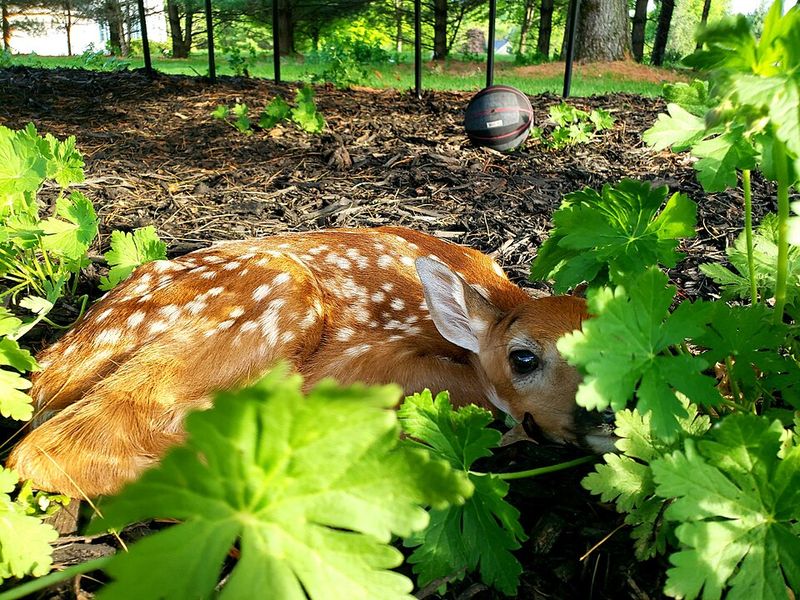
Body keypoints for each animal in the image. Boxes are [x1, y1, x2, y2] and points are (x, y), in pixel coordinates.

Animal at [8, 226, 615, 498]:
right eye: (523, 357)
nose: (609, 413)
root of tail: (49, 366)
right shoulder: (367, 364)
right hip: (274, 296)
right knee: (47, 450)